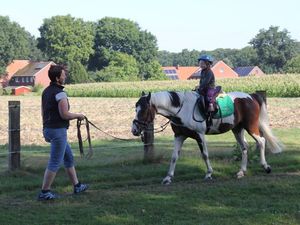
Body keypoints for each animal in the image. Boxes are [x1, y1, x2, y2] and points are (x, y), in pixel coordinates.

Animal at [130, 89, 282, 185]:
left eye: (143, 109)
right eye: (135, 108)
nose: (134, 130)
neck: (181, 110)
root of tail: (251, 96)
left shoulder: (200, 135)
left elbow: (205, 155)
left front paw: (209, 174)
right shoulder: (179, 136)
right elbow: (174, 157)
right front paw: (168, 178)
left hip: (251, 127)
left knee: (261, 141)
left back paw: (266, 166)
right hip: (237, 129)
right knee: (244, 147)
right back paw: (241, 172)